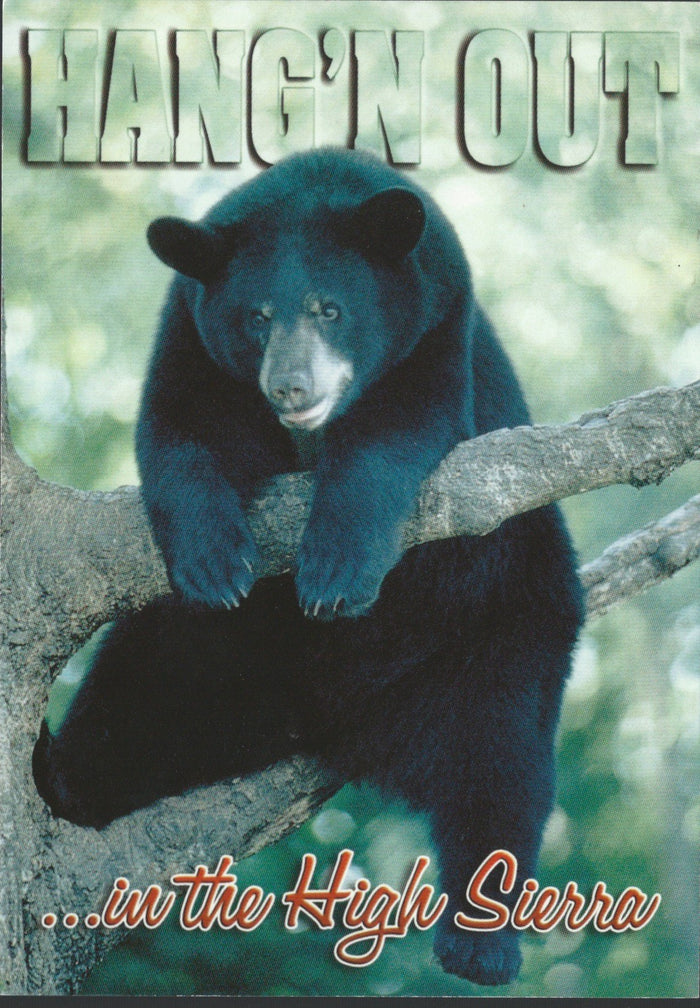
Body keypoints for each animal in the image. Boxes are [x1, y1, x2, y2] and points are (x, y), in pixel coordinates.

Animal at [33, 147, 585, 987]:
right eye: (257, 316)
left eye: (330, 309)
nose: (290, 386)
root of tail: (344, 725)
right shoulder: (190, 336)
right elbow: (177, 432)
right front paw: (215, 562)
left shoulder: (436, 324)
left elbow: (397, 432)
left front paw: (335, 571)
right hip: (201, 659)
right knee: (133, 693)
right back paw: (64, 772)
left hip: (507, 612)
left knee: (502, 767)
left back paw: (480, 943)